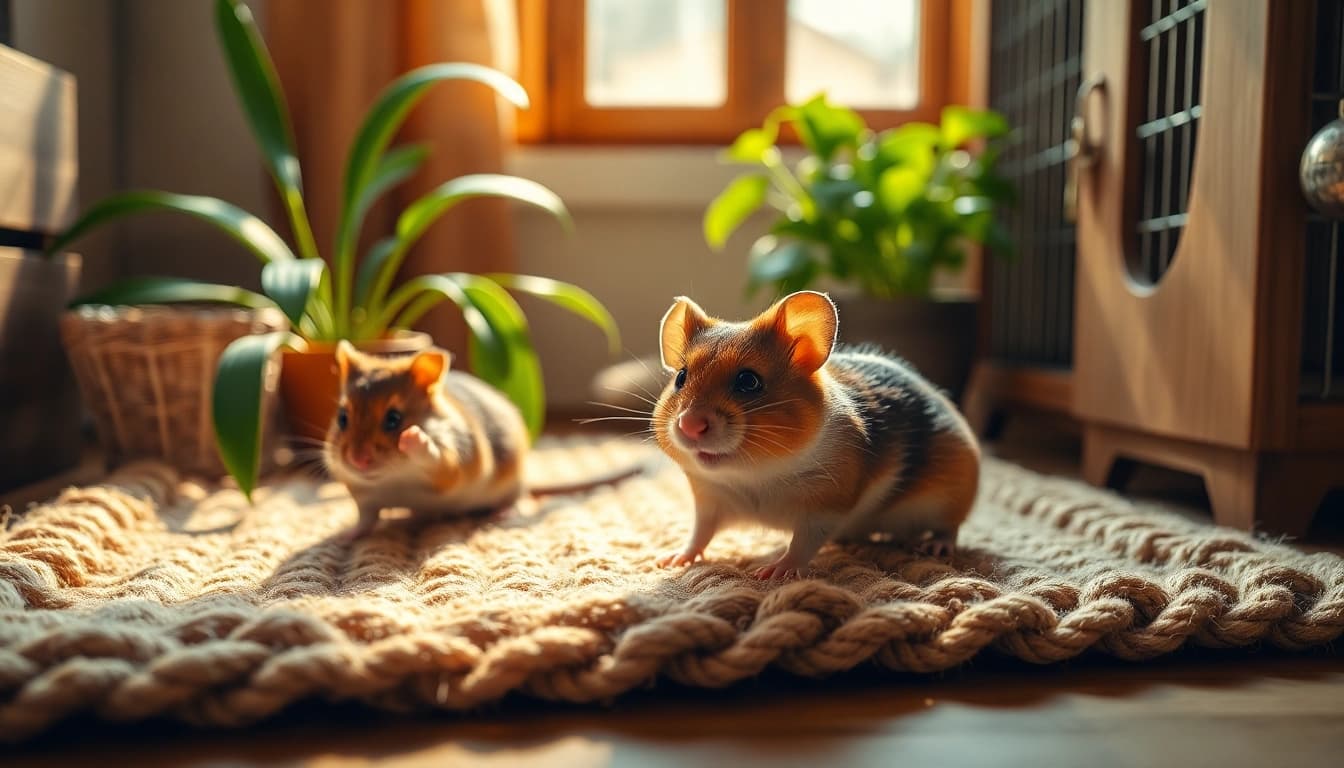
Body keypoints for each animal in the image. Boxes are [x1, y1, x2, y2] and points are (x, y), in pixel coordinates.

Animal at [324, 340, 635, 541]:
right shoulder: (365, 498)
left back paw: (501, 515)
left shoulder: (452, 465)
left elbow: (437, 458)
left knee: (518, 498)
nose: (357, 461)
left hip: (511, 482)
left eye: (393, 419)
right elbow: (366, 520)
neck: (394, 479)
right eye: (342, 418)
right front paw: (344, 537)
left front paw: (414, 438)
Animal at [652, 290, 981, 579]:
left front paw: (776, 571)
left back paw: (935, 547)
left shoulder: (826, 506)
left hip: (950, 496)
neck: (757, 475)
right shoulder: (711, 500)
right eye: (681, 377)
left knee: (950, 527)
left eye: (748, 381)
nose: (689, 425)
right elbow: (700, 533)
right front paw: (672, 559)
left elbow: (803, 543)